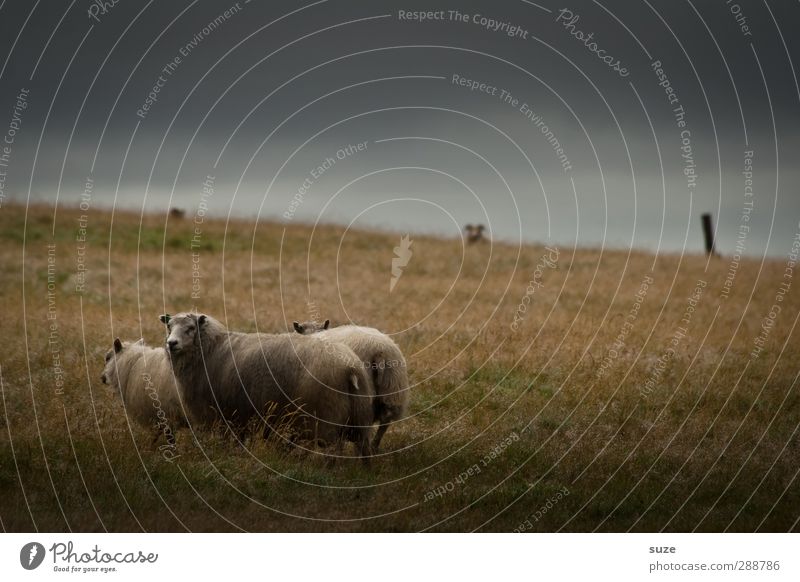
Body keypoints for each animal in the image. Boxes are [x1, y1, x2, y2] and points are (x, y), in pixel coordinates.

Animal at [162, 312, 378, 464]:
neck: (209, 350)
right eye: (169, 327)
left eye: (191, 328)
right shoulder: (240, 416)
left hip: (327, 419)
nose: (171, 343)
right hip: (360, 416)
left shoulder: (225, 415)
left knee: (332, 453)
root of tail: (350, 368)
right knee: (365, 449)